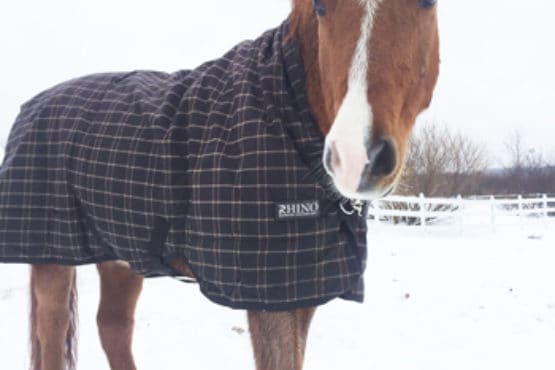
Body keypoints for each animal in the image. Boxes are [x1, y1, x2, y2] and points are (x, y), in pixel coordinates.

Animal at [2, 0, 440, 370]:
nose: (356, 156)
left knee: (113, 327)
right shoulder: (269, 301)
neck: (283, 108)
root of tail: (33, 106)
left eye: (427, 2)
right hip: (53, 258)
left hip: (121, 258)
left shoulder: (301, 292)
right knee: (54, 334)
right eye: (319, 7)